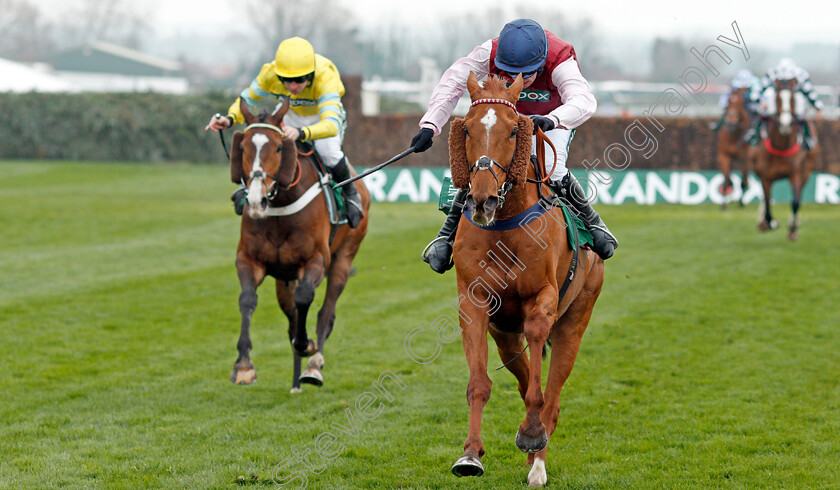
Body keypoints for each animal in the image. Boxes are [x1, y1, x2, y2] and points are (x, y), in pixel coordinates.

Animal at [228, 97, 370, 392]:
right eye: (243, 147)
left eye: (279, 147)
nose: (256, 201)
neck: (281, 208)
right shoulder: (249, 259)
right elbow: (247, 300)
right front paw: (244, 366)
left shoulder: (316, 260)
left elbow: (306, 300)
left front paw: (308, 346)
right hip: (284, 279)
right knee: (292, 318)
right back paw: (295, 381)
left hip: (344, 257)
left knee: (325, 314)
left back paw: (312, 367)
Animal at [446, 72, 604, 486]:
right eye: (466, 129)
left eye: (514, 131)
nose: (482, 199)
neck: (504, 226)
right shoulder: (474, 302)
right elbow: (479, 383)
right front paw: (470, 455)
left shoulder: (542, 297)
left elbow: (539, 380)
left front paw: (532, 435)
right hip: (504, 334)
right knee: (521, 377)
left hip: (576, 319)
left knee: (552, 394)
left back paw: (537, 462)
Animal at [748, 78, 820, 239]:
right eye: (777, 98)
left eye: (793, 98)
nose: (785, 123)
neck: (781, 145)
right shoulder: (765, 176)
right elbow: (767, 202)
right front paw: (770, 223)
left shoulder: (796, 174)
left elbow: (795, 202)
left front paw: (793, 228)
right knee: (765, 199)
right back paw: (763, 222)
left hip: (807, 170)